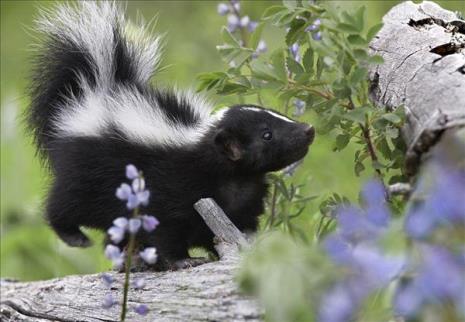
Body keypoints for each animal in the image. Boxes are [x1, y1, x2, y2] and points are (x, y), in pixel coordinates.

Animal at [27, 1, 314, 270]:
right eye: (267, 135)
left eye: (278, 116)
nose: (308, 129)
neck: (235, 179)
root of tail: (98, 90)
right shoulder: (171, 189)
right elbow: (166, 230)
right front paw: (183, 260)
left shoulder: (243, 203)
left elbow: (234, 229)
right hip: (85, 173)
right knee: (64, 203)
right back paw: (76, 236)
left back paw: (132, 259)